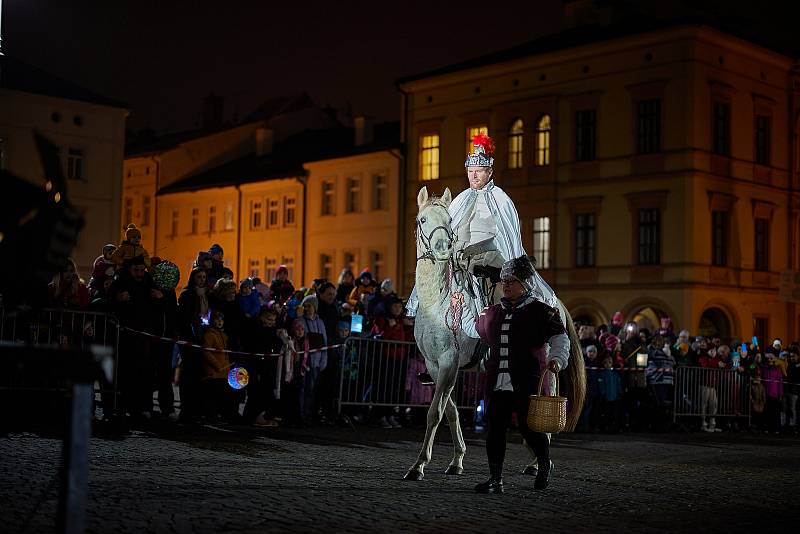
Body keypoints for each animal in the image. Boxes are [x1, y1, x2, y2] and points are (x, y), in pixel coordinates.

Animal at [406, 186, 588, 484]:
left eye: (449, 220)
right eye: (422, 219)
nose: (443, 248)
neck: (439, 302)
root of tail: (555, 304)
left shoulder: (449, 362)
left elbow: (435, 412)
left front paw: (419, 465)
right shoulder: (435, 365)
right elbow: (451, 411)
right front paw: (457, 460)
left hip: (545, 363)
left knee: (546, 394)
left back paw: (540, 461)